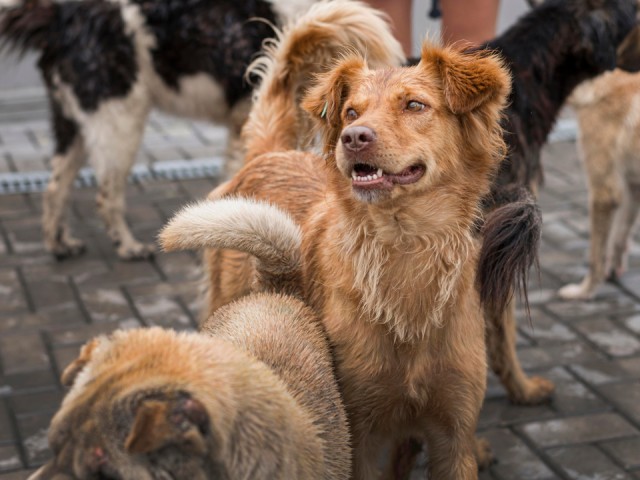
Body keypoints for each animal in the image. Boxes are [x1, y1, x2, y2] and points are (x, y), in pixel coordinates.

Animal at [1, 0, 316, 260]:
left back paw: (59, 244)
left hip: (73, 125)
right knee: (106, 196)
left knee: (56, 188)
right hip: (119, 123)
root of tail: (60, 14)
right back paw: (128, 247)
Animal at [166, 5, 516, 478]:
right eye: (351, 112)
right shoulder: (356, 434)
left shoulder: (452, 437)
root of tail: (269, 154)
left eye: (415, 105)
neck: (403, 248)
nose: (354, 138)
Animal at [556, 67, 640, 300]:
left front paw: (584, 292)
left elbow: (596, 256)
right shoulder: (632, 188)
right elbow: (620, 238)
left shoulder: (604, 192)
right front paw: (614, 272)